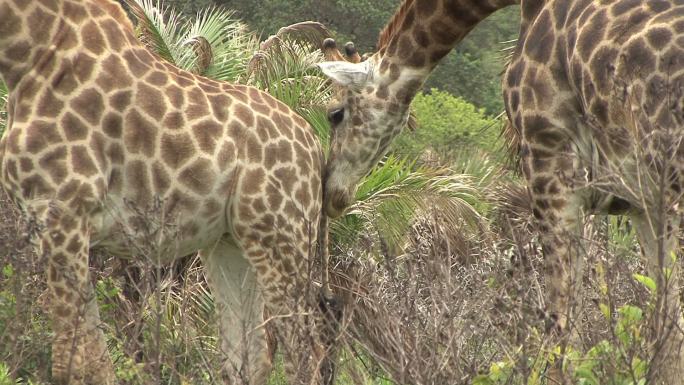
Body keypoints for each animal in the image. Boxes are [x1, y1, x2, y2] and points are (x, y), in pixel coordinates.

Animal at [0, 0, 332, 384]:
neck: (29, 50)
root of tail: (315, 146)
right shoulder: (58, 224)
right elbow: (92, 357)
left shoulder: (62, 211)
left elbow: (77, 363)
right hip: (232, 242)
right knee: (248, 354)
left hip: (282, 237)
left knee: (305, 354)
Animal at [320, 0, 684, 382]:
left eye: (335, 113)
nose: (331, 193)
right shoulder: (645, 199)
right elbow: (667, 331)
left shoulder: (549, 165)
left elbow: (561, 328)